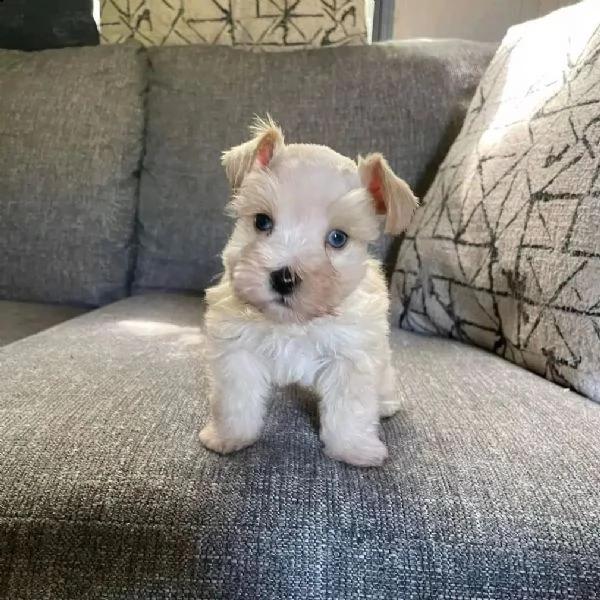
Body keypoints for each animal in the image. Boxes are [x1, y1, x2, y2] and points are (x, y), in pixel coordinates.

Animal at [200, 116, 418, 464]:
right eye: (262, 222)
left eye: (338, 239)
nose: (284, 278)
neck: (296, 324)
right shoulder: (237, 351)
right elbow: (235, 402)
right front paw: (228, 437)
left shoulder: (351, 357)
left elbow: (350, 410)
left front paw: (353, 449)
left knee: (383, 377)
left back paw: (386, 403)